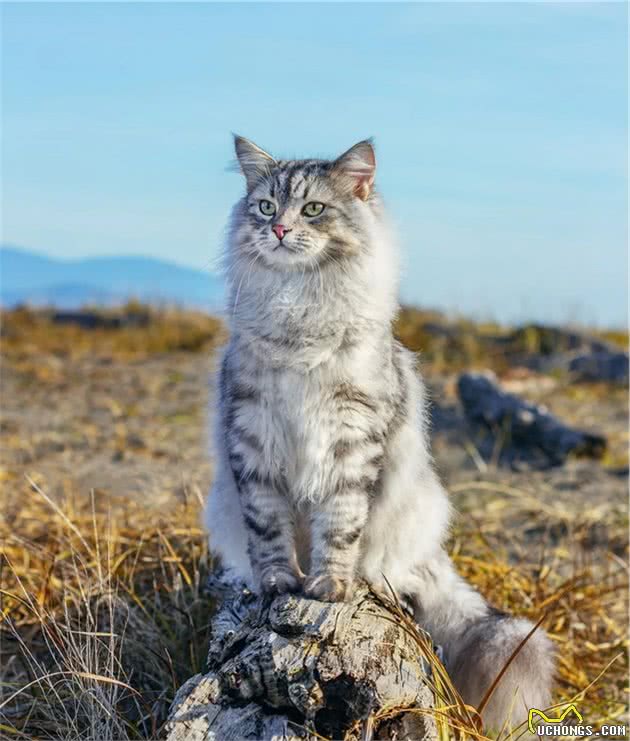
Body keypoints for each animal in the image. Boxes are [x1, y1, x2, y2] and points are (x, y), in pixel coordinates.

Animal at [205, 134, 556, 728]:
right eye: (266, 207)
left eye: (313, 209)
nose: (279, 231)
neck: (298, 308)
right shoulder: (251, 432)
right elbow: (268, 530)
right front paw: (279, 585)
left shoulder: (352, 436)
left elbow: (340, 526)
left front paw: (328, 586)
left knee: (388, 565)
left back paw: (366, 580)